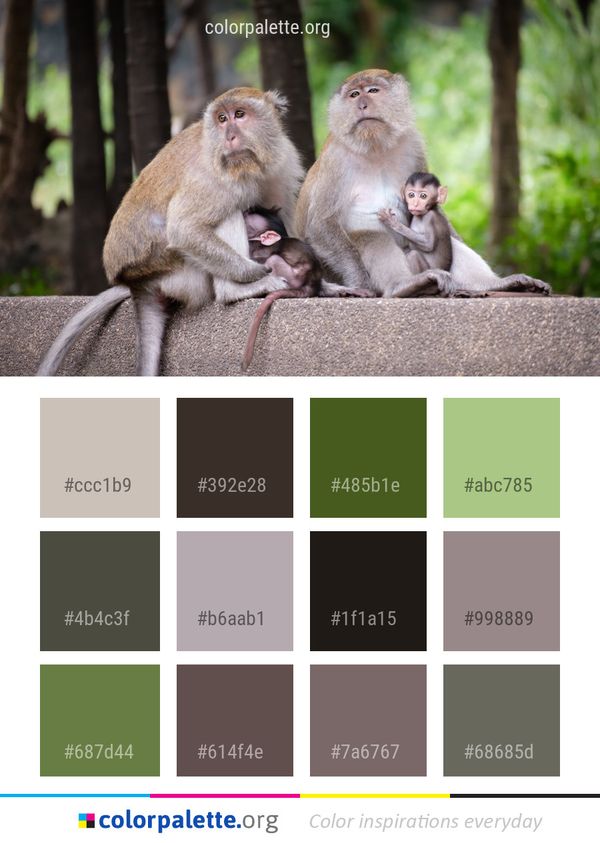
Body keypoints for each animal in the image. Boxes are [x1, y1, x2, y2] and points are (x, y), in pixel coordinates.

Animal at [37, 87, 304, 376]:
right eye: (222, 119)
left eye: (240, 114)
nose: (229, 137)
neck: (251, 166)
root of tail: (137, 282)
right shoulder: (212, 179)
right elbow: (184, 229)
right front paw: (257, 271)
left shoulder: (282, 160)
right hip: (181, 274)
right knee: (228, 214)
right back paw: (235, 290)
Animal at [241, 206, 322, 370]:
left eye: (247, 218)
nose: (243, 212)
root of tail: (311, 284)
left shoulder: (260, 250)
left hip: (291, 275)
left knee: (273, 259)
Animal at [295, 69, 551, 299]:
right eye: (354, 94)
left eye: (373, 91)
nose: (362, 105)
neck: (375, 148)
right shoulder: (335, 161)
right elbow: (321, 225)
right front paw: (360, 282)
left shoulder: (413, 144)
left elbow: (432, 211)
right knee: (371, 236)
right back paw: (403, 286)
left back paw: (496, 284)